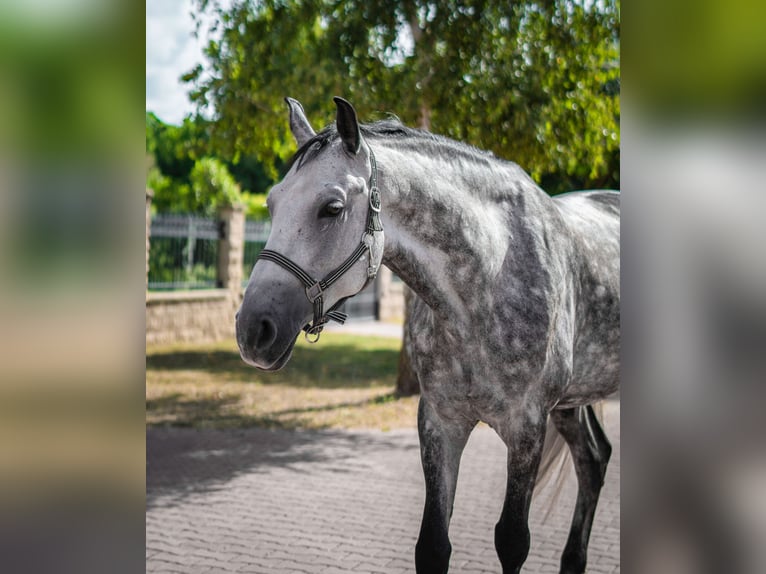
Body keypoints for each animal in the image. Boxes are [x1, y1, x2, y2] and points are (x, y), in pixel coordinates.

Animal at [237, 99, 620, 574]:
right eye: (271, 204)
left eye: (332, 207)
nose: (253, 329)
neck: (488, 277)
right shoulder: (440, 422)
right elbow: (433, 545)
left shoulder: (527, 426)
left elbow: (512, 541)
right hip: (570, 402)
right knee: (593, 459)